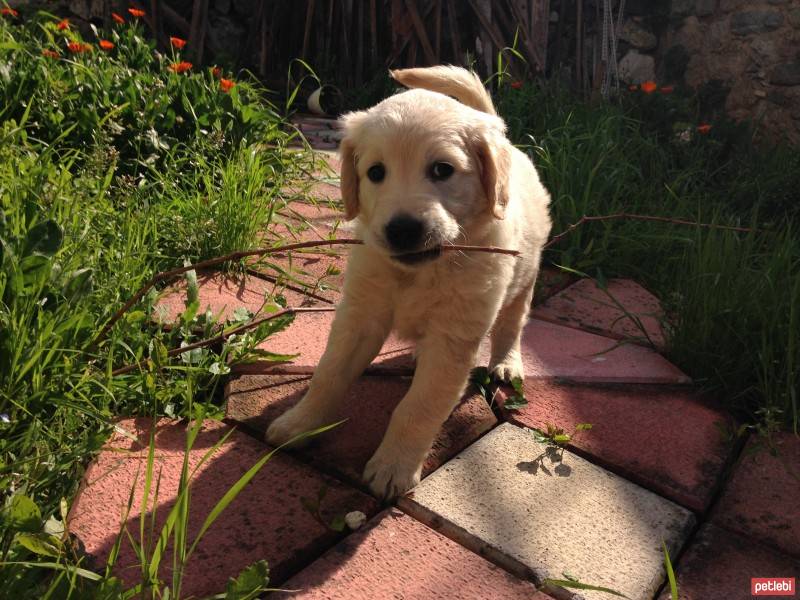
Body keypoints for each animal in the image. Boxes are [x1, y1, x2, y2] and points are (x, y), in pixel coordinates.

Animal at [266, 64, 552, 496]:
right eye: (375, 173)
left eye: (442, 170)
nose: (402, 230)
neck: (421, 272)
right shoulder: (360, 313)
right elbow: (328, 374)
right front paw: (300, 424)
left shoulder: (453, 335)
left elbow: (418, 407)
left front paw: (393, 467)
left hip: (524, 278)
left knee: (511, 325)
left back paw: (506, 363)